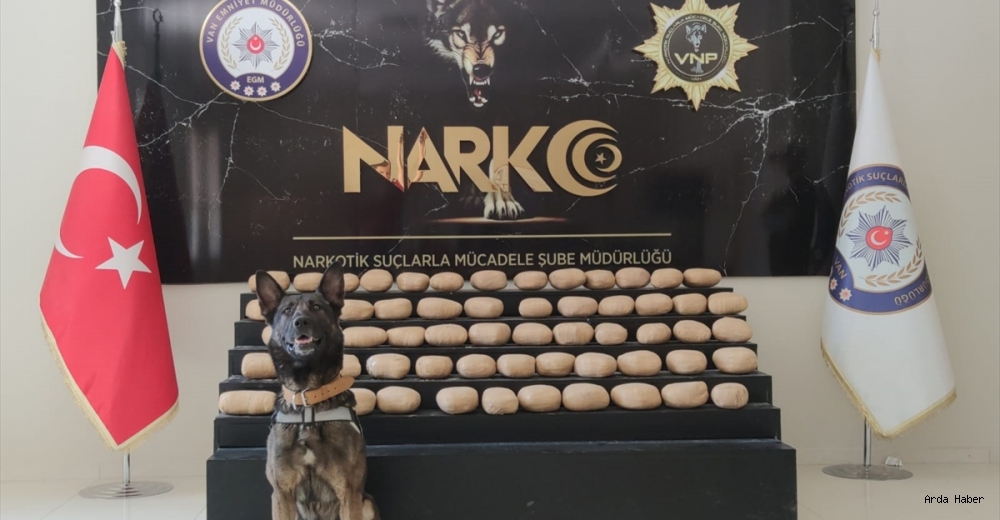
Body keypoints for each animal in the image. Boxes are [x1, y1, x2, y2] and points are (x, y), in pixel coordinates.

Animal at [255, 266, 379, 520]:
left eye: (317, 307)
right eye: (287, 311)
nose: (301, 322)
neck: (307, 401)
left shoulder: (349, 493)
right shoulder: (281, 494)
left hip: (367, 504)